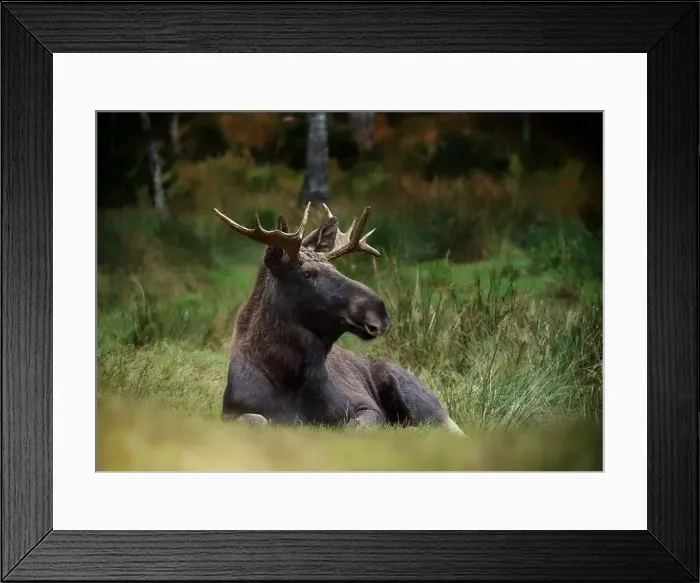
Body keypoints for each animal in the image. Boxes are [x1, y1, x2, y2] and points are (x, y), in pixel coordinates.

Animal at [213, 202, 464, 435]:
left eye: (335, 268)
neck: (288, 379)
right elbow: (256, 419)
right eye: (307, 273)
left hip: (417, 397)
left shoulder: (366, 407)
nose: (379, 311)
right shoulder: (231, 412)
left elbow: (351, 426)